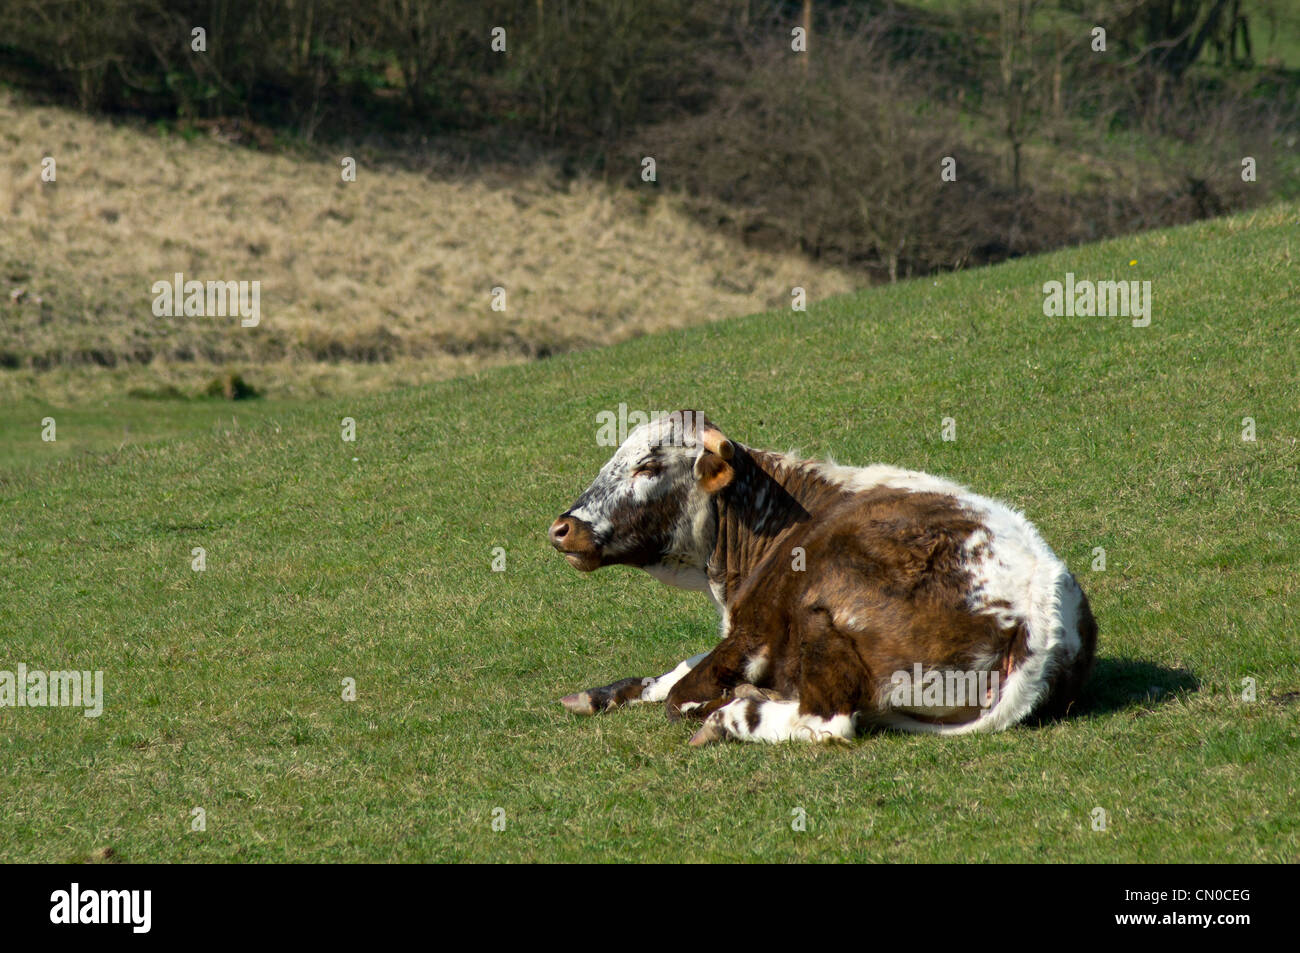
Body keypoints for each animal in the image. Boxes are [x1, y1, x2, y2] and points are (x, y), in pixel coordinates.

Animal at [548, 411, 1097, 745]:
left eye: (647, 465)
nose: (562, 527)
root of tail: (1040, 619)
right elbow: (677, 671)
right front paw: (599, 695)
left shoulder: (752, 631)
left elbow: (682, 693)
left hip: (819, 613)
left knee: (828, 720)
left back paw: (730, 716)